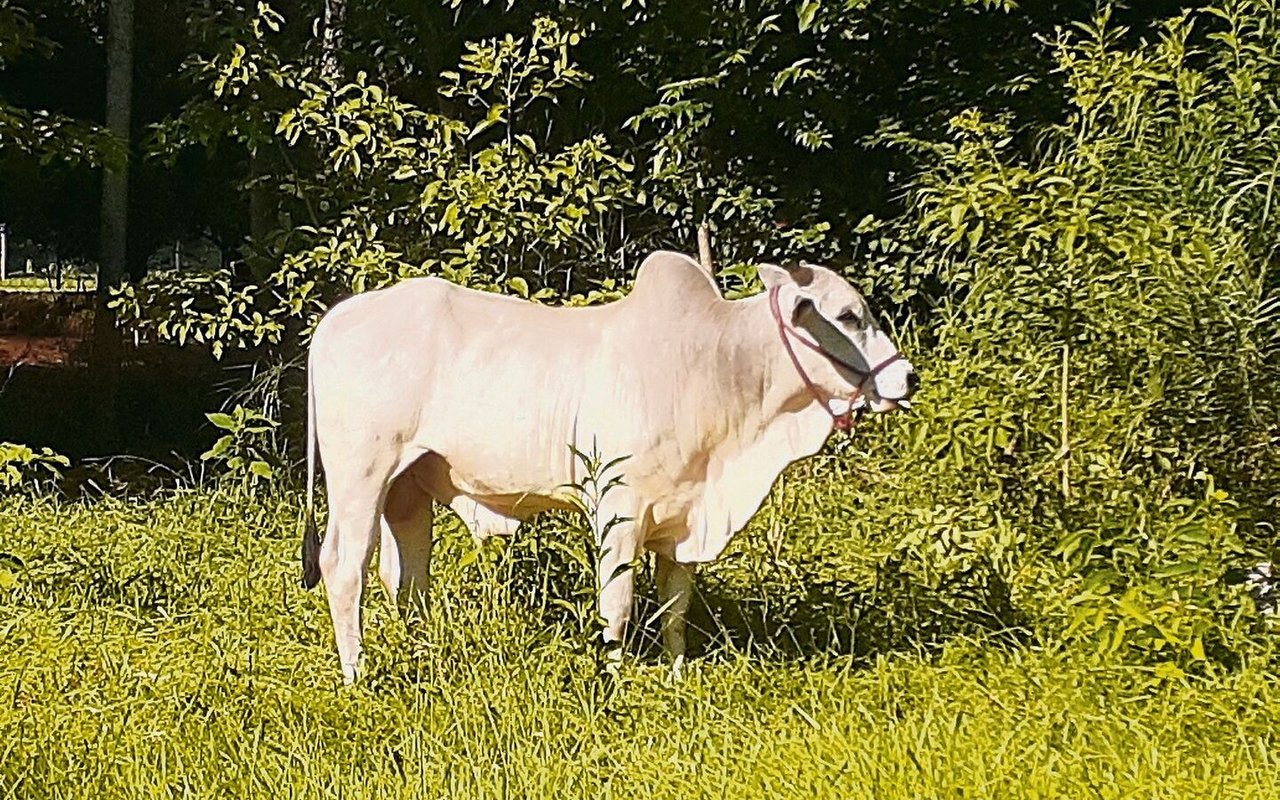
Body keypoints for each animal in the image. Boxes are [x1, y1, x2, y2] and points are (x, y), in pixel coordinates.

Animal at [303, 249, 916, 680]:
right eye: (847, 316)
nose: (907, 378)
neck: (718, 366)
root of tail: (336, 319)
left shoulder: (682, 518)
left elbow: (673, 609)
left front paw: (673, 675)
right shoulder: (619, 508)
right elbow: (617, 607)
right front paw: (615, 681)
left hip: (407, 487)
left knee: (405, 576)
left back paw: (419, 648)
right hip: (361, 474)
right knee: (344, 566)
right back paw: (357, 673)